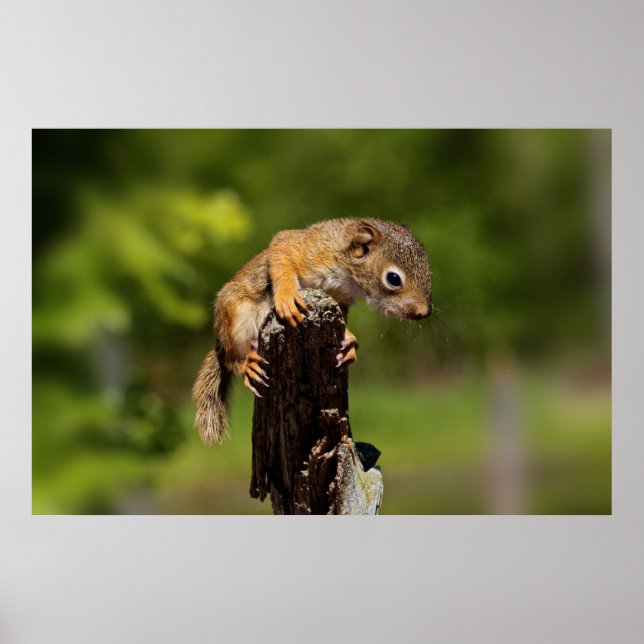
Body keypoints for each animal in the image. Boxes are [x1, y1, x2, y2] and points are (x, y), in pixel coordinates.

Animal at [192, 217, 432, 446]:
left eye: (429, 271)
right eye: (393, 278)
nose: (424, 312)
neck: (348, 273)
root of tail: (220, 344)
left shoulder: (340, 298)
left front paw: (349, 341)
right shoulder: (309, 248)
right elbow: (282, 251)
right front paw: (287, 296)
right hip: (235, 318)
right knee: (231, 359)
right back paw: (246, 363)